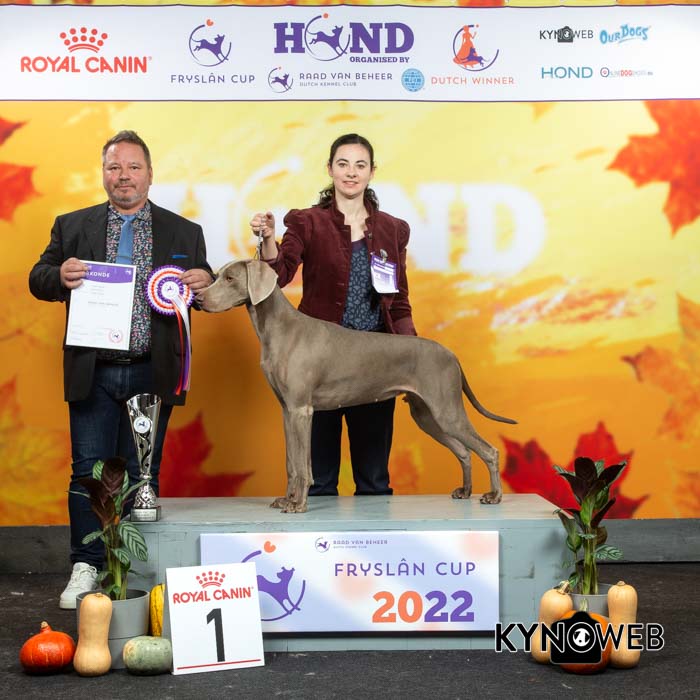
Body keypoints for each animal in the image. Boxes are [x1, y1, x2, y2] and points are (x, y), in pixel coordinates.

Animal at [199, 260, 516, 513]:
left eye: (230, 278)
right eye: (216, 275)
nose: (200, 300)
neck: (277, 329)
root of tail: (451, 354)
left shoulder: (302, 410)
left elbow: (302, 465)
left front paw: (298, 503)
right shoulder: (287, 411)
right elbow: (291, 462)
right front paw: (287, 499)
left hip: (446, 411)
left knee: (488, 451)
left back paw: (494, 495)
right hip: (426, 415)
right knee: (463, 451)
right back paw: (465, 491)